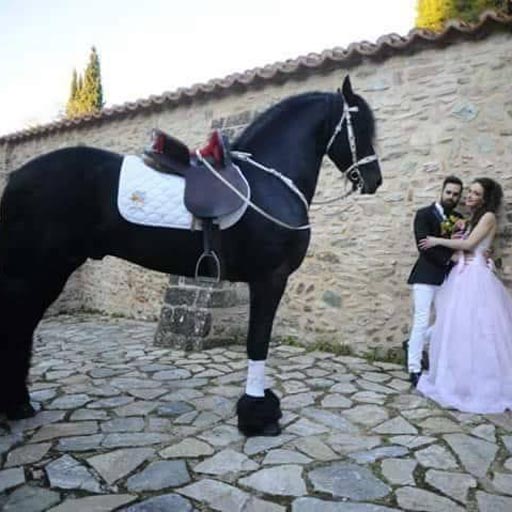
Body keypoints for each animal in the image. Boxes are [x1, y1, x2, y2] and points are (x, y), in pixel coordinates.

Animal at [0, 74, 382, 430]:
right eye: (361, 125)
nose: (374, 180)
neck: (269, 184)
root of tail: (17, 177)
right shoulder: (269, 278)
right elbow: (258, 342)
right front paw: (257, 414)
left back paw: (19, 405)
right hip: (37, 272)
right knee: (19, 326)